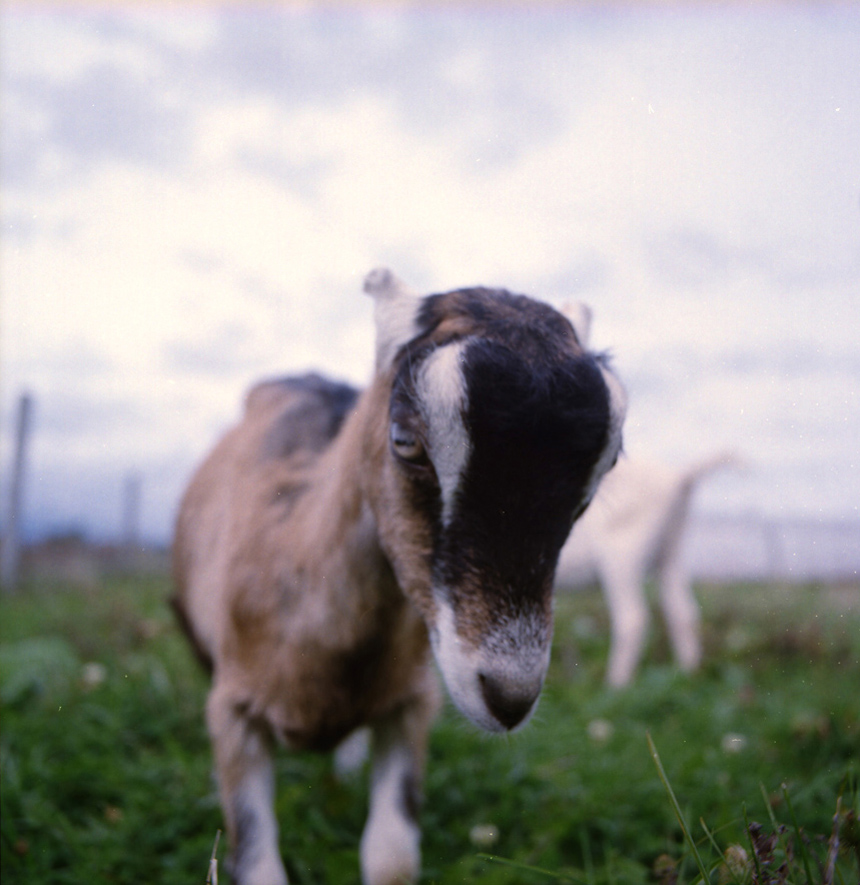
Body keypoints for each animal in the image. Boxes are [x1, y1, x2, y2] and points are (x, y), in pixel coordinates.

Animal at [172, 268, 626, 885]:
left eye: (605, 468)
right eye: (406, 441)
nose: (509, 696)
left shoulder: (412, 702)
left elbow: (391, 859)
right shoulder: (230, 712)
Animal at [555, 452, 737, 687]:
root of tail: (678, 477)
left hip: (623, 555)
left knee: (633, 618)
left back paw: (615, 685)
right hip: (670, 549)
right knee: (682, 610)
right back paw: (688, 674)